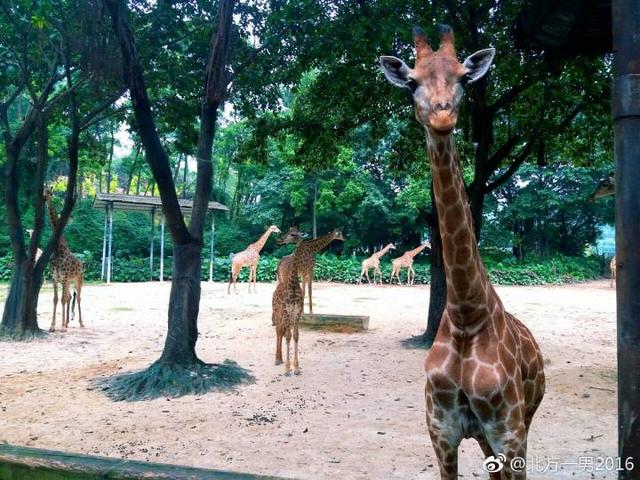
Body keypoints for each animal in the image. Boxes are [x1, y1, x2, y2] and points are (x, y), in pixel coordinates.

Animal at [43, 189, 84, 332]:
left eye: (50, 192)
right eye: (43, 191)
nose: (44, 198)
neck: (58, 249)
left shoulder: (64, 277)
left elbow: (62, 299)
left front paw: (61, 327)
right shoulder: (55, 278)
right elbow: (56, 299)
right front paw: (53, 326)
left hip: (78, 280)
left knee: (78, 298)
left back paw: (81, 323)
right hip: (67, 282)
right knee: (70, 296)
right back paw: (66, 322)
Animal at [380, 24, 544, 478]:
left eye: (464, 79)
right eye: (411, 82)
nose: (441, 115)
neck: (466, 316)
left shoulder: (509, 432)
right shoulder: (441, 433)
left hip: (523, 422)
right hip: (487, 438)